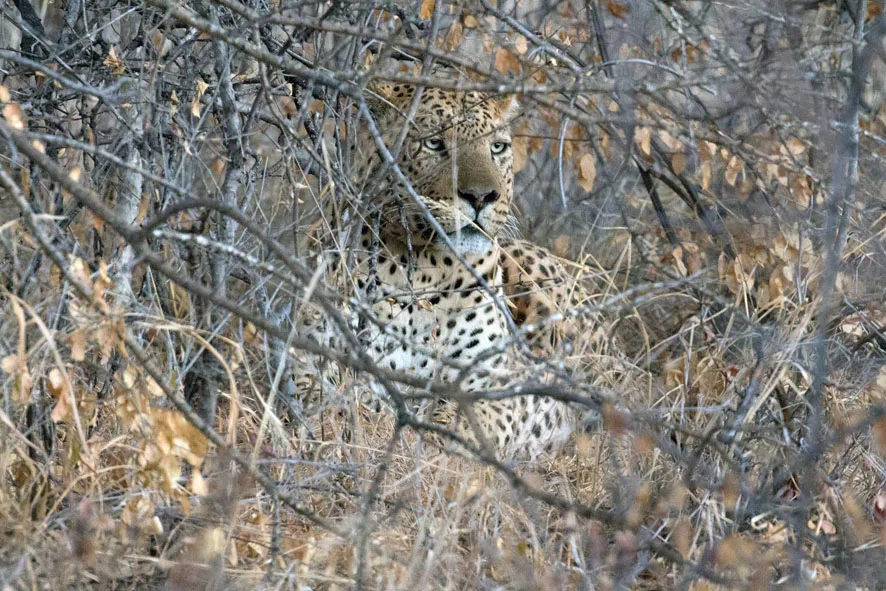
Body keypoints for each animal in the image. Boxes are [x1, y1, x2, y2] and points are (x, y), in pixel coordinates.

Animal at [298, 78, 595, 461]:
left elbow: (459, 426)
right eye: (434, 143)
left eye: (497, 147)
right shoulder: (312, 358)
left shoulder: (493, 385)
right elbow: (337, 402)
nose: (482, 197)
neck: (422, 267)